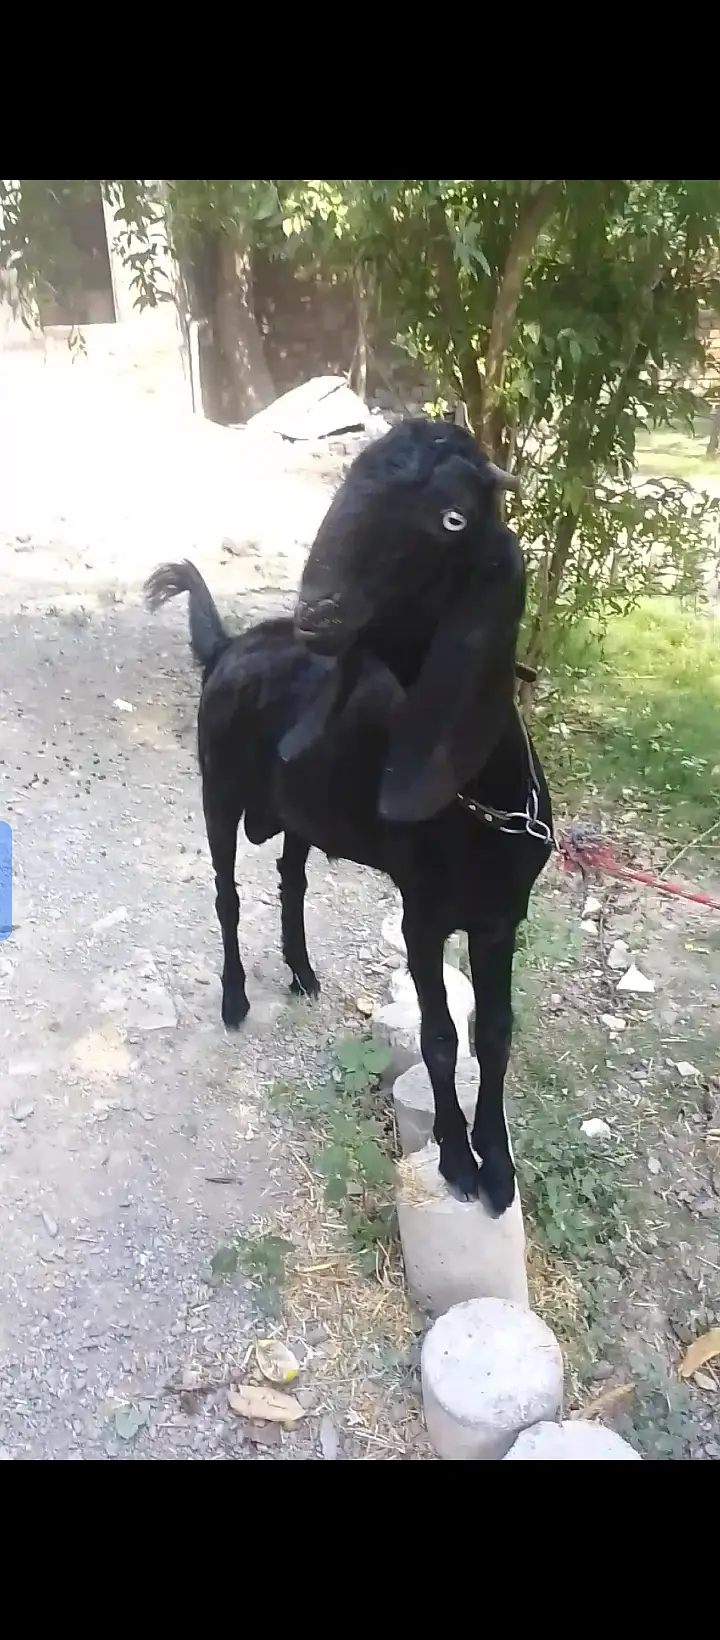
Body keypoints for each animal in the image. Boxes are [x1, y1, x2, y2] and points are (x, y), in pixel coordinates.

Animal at [145, 418, 554, 1217]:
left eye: (453, 518)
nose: (318, 615)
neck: (483, 799)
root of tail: (228, 645)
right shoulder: (423, 917)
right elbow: (440, 1037)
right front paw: (457, 1162)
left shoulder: (501, 918)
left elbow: (495, 1035)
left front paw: (499, 1167)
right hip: (219, 789)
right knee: (227, 893)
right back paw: (236, 997)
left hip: (299, 814)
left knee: (291, 878)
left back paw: (302, 971)